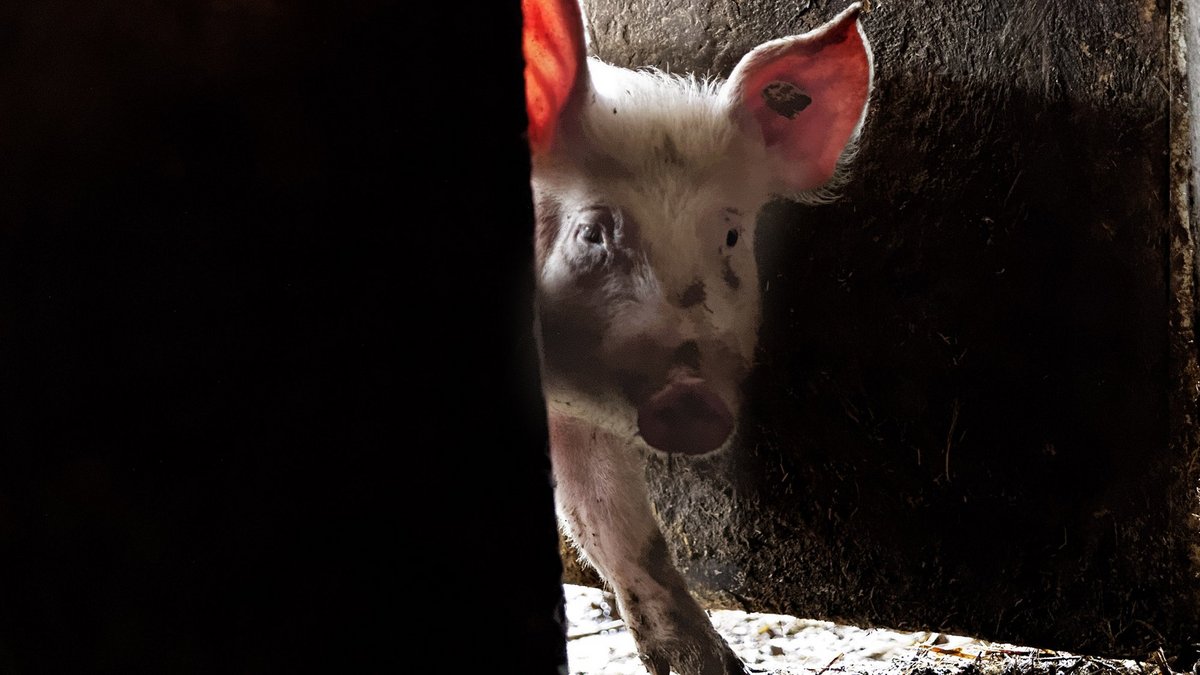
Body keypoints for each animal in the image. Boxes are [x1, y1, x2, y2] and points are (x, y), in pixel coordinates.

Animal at [520, 2, 868, 667]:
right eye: (594, 234)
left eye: (730, 236)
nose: (690, 398)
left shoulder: (576, 419)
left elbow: (619, 529)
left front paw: (714, 665)